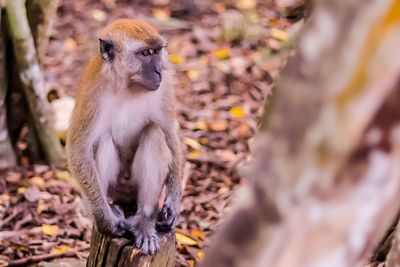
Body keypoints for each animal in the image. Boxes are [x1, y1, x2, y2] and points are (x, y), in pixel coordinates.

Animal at [67, 19, 183, 255]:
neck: (128, 85)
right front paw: (105, 220)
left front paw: (174, 201)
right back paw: (111, 209)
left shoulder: (165, 87)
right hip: (115, 188)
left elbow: (169, 134)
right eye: (145, 53)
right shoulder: (92, 93)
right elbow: (78, 149)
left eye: (156, 52)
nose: (159, 70)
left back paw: (144, 221)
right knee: (102, 140)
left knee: (153, 133)